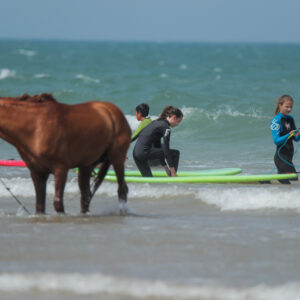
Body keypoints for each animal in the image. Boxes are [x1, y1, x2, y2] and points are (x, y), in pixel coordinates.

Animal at [0, 93, 131, 213]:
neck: (36, 127)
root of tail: (114, 111)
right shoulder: (37, 173)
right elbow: (40, 206)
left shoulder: (60, 169)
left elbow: (58, 203)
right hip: (87, 166)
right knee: (85, 196)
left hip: (117, 158)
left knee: (122, 189)